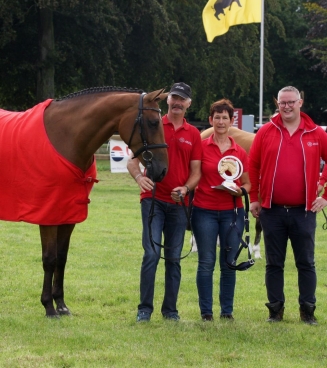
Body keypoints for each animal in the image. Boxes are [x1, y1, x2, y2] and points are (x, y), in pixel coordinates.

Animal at [0, 86, 169, 316]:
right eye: (152, 122)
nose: (162, 170)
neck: (65, 138)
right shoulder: (48, 215)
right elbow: (49, 259)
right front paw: (48, 306)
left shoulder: (68, 214)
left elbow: (61, 257)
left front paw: (61, 305)